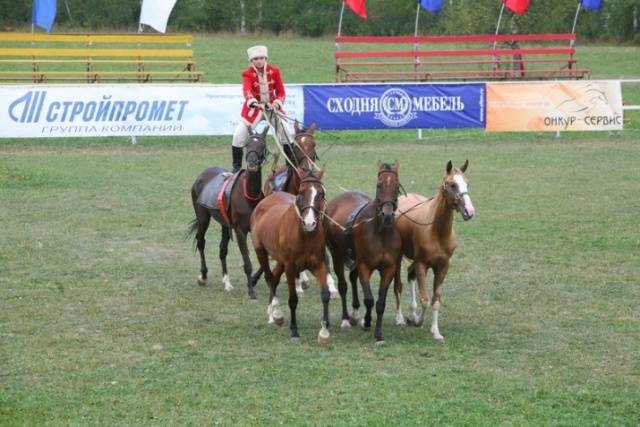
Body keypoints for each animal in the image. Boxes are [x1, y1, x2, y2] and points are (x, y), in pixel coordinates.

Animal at [186, 127, 268, 300]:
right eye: (247, 144)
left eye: (262, 146)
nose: (252, 164)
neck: (249, 195)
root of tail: (203, 174)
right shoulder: (240, 231)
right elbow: (247, 263)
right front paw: (251, 290)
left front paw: (252, 282)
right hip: (203, 217)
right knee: (201, 241)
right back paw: (203, 276)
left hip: (224, 223)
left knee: (222, 250)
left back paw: (227, 282)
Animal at [249, 167, 330, 344]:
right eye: (301, 192)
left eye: (321, 193)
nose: (309, 223)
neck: (305, 235)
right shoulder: (291, 267)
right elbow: (293, 299)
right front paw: (294, 331)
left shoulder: (318, 264)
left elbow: (325, 295)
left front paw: (324, 332)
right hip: (261, 252)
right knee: (269, 277)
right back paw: (276, 313)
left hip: (280, 260)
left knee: (274, 277)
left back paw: (271, 312)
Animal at [328, 161, 402, 344]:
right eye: (379, 185)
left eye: (396, 186)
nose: (387, 214)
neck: (381, 232)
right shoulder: (365, 267)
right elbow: (369, 299)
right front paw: (367, 321)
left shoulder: (389, 269)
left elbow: (380, 303)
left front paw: (378, 333)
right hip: (336, 254)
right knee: (343, 285)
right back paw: (346, 319)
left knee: (352, 279)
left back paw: (354, 313)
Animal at [392, 160, 478, 342]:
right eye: (452, 185)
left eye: (467, 183)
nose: (469, 211)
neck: (436, 231)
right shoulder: (422, 264)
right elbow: (425, 299)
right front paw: (417, 321)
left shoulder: (443, 267)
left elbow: (435, 300)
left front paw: (435, 332)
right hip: (398, 259)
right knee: (398, 285)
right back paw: (401, 318)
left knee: (410, 276)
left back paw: (412, 312)